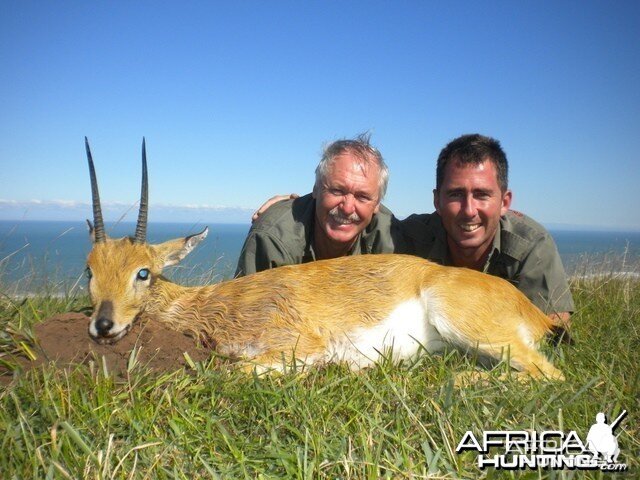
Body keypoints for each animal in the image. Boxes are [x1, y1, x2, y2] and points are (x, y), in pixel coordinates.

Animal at [84, 140, 564, 382]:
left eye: (143, 272)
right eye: (90, 269)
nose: (103, 325)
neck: (217, 305)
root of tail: (534, 312)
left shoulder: (296, 345)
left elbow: (228, 370)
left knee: (549, 375)